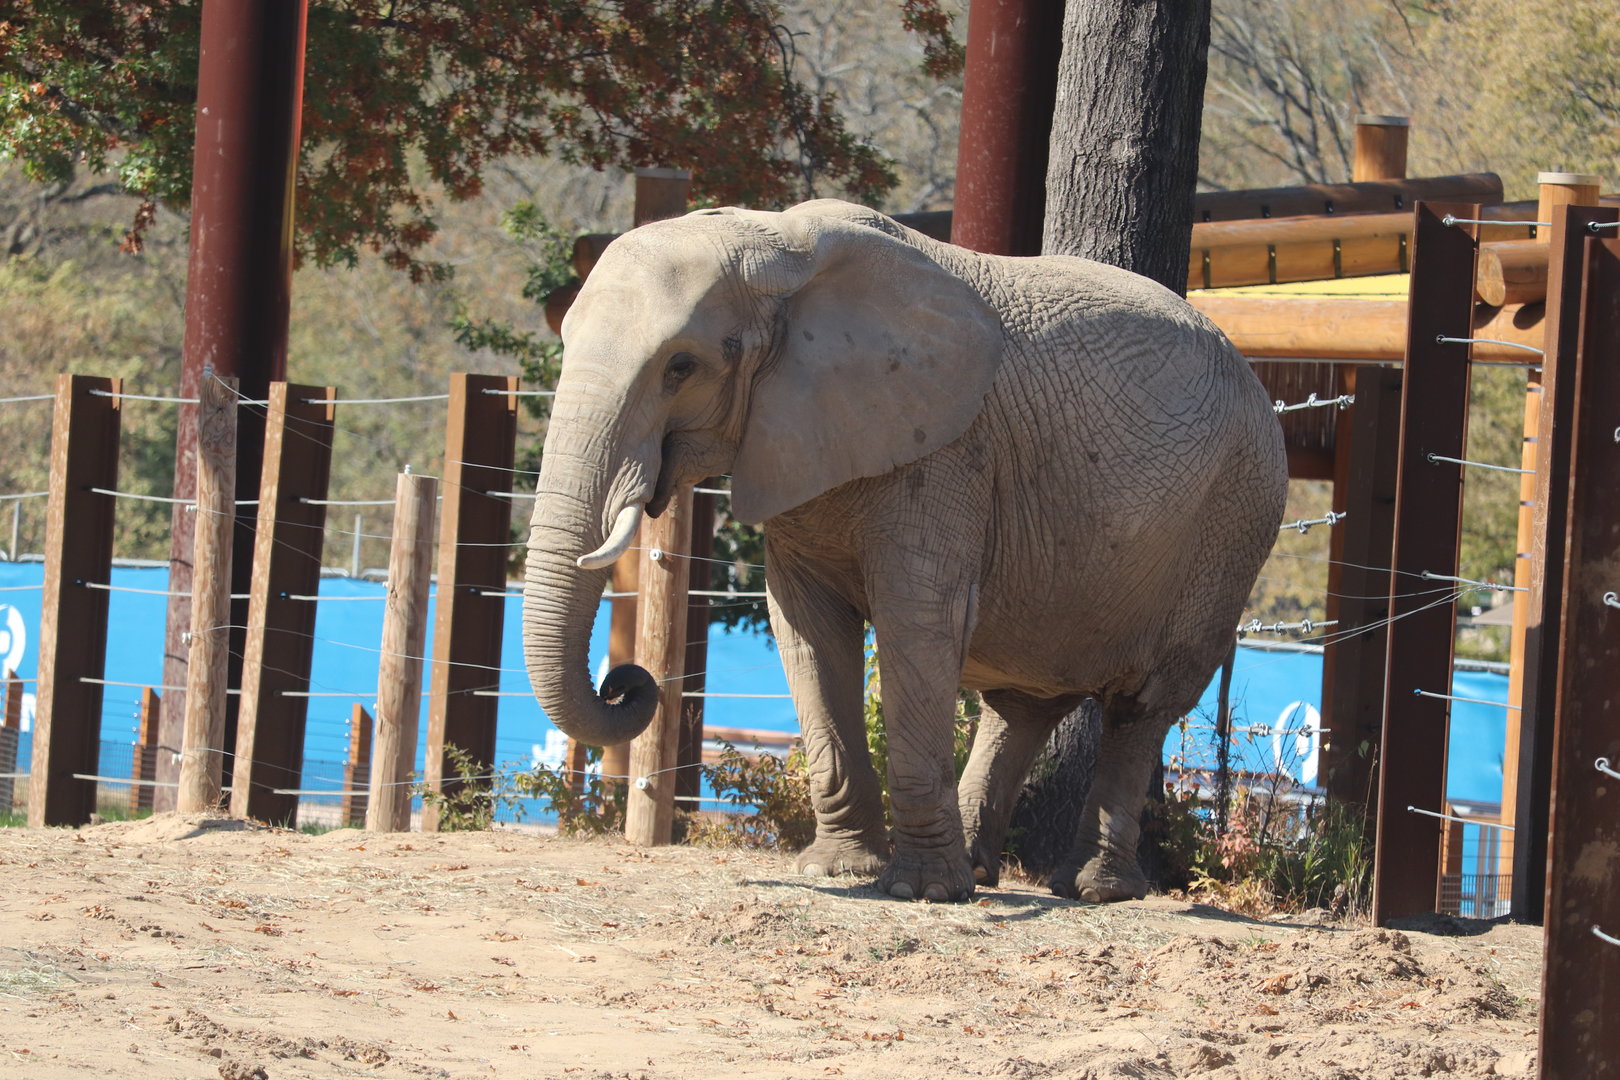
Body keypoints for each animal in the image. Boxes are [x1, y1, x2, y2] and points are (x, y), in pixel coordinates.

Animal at [522, 198, 1288, 903]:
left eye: (681, 366)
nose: (626, 681)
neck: (779, 246)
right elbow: (806, 630)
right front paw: (838, 871)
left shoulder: (947, 452)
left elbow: (918, 622)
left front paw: (920, 892)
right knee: (1020, 707)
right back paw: (986, 871)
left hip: (1233, 518)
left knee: (1142, 705)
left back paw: (1090, 888)